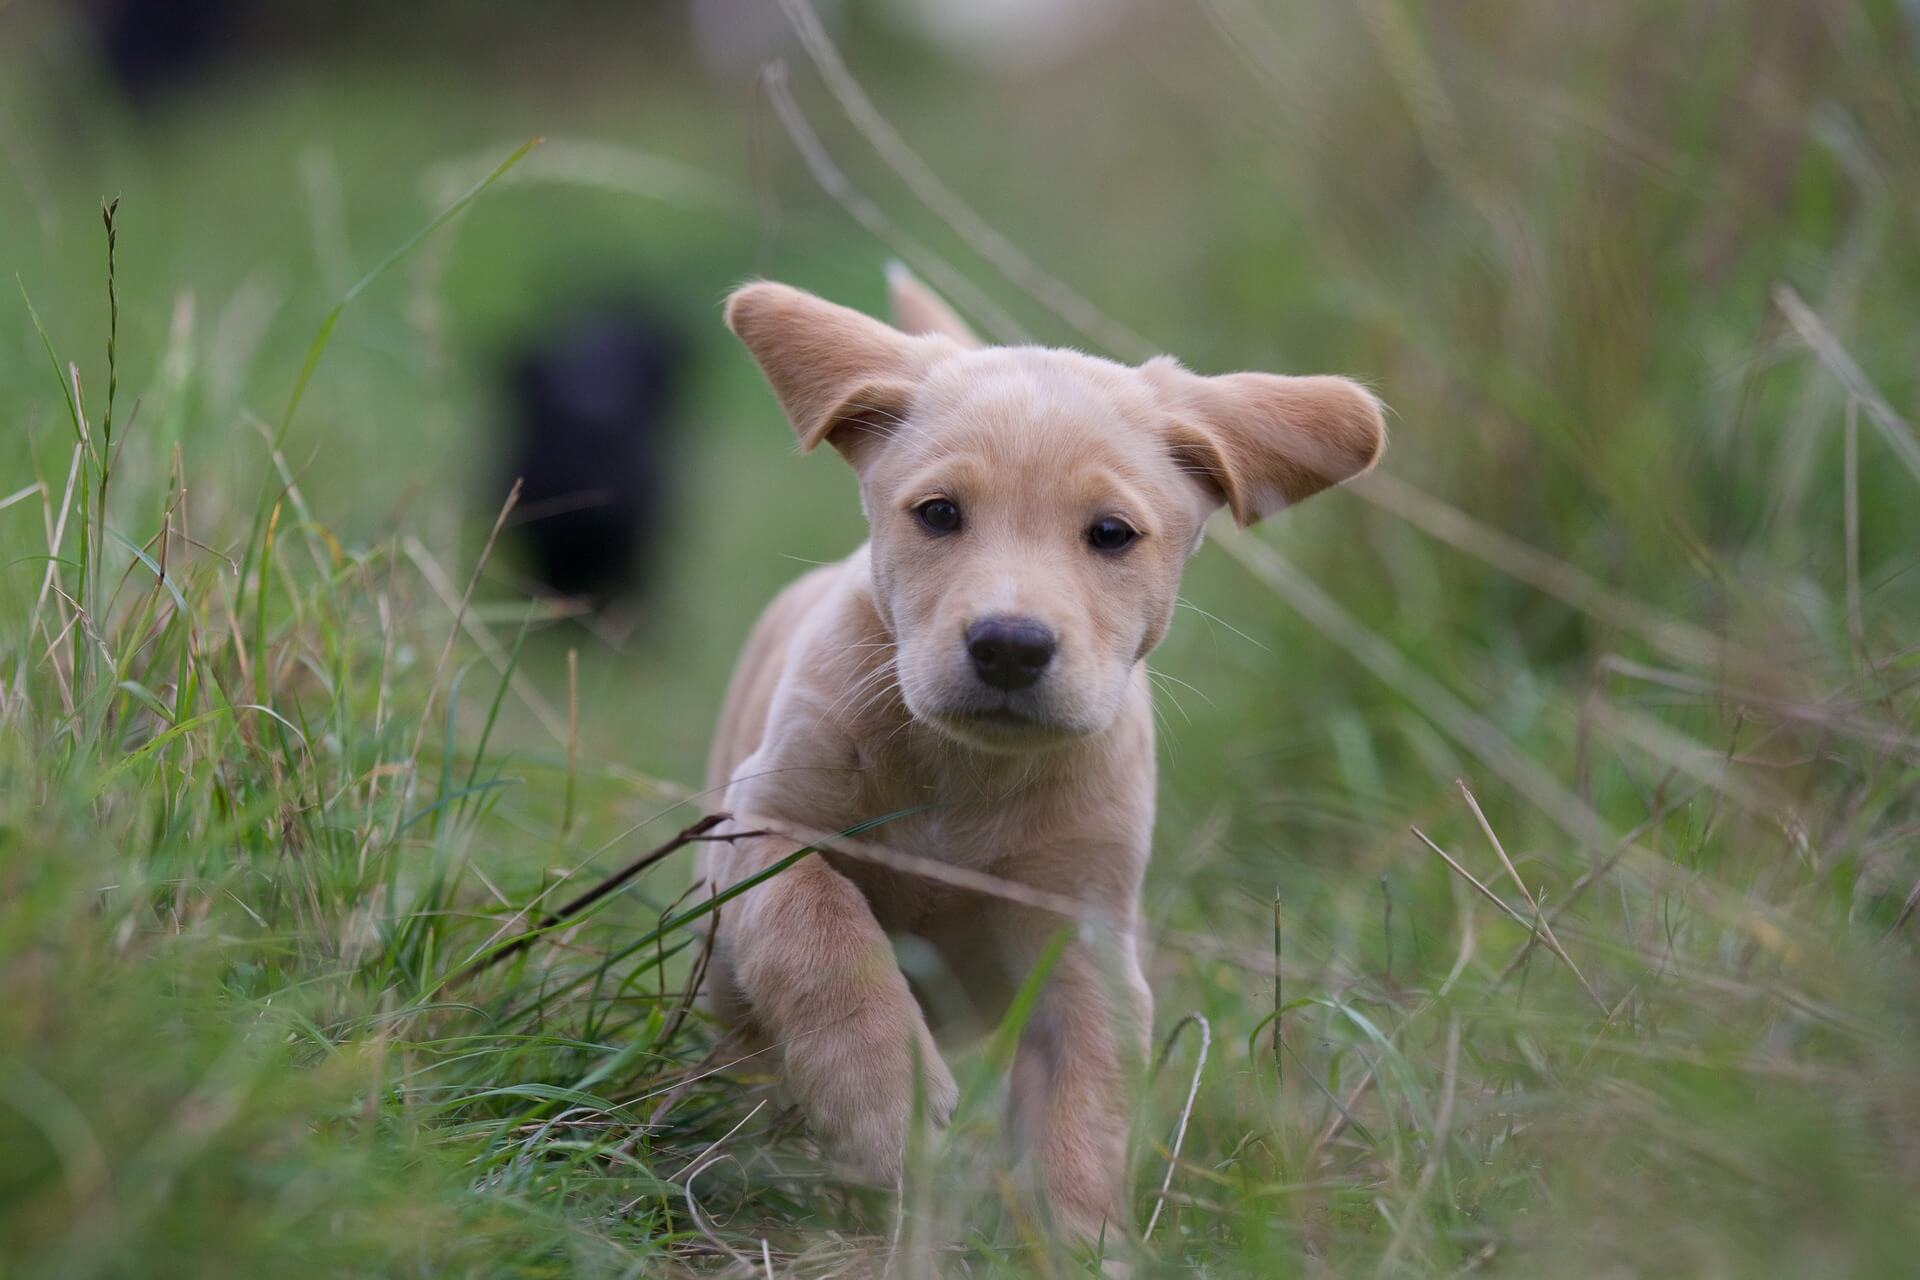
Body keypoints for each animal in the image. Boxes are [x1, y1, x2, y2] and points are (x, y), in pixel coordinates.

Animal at [698, 270, 1390, 1243]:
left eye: (1111, 534)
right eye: (939, 514)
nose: (1010, 647)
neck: (967, 772)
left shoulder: (1083, 941)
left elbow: (1085, 1106)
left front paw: (1080, 1240)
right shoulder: (759, 827)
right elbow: (820, 926)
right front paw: (886, 1103)